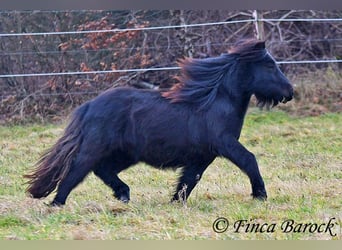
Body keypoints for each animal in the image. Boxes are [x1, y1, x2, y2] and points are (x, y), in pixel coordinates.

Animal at [24, 40, 292, 206]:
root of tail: (89, 106)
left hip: (125, 154)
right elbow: (249, 160)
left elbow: (189, 181)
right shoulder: (224, 144)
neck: (215, 103)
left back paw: (123, 195)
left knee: (102, 170)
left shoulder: (203, 155)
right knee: (76, 171)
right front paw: (260, 195)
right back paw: (56, 204)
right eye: (270, 65)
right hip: (96, 148)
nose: (290, 92)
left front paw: (175, 203)